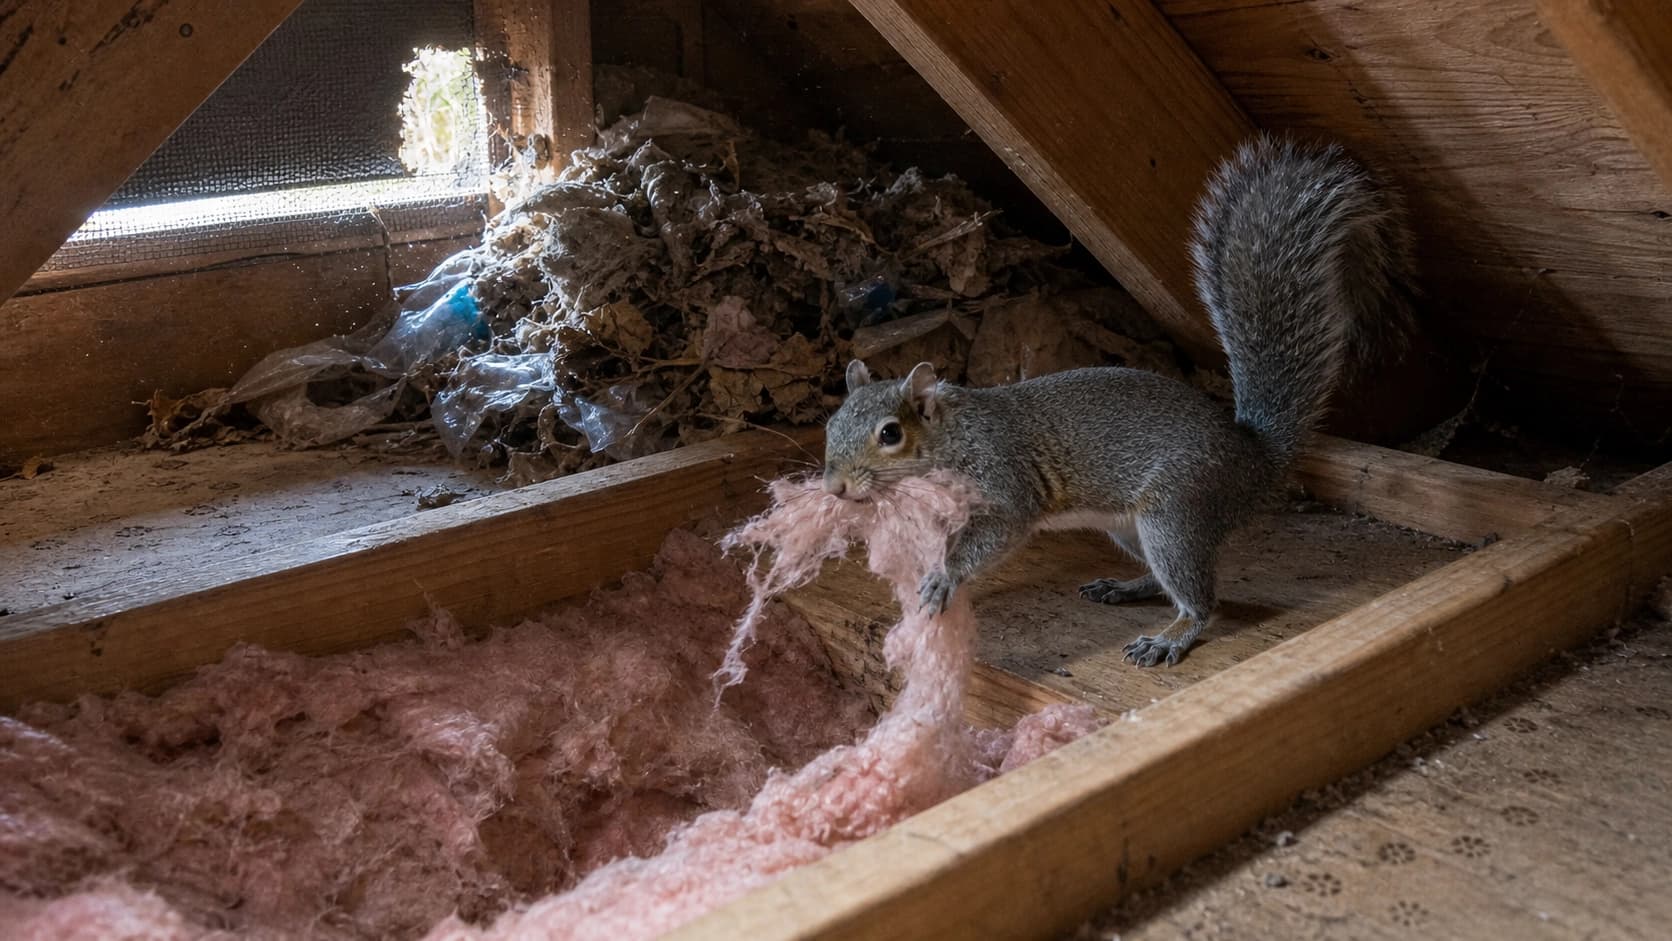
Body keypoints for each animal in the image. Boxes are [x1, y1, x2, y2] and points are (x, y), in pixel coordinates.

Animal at [820, 134, 1417, 667]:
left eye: (890, 434)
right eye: (830, 425)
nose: (835, 488)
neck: (952, 434)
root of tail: (1255, 459)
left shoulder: (1005, 480)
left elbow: (995, 533)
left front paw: (943, 577)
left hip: (1175, 513)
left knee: (1198, 598)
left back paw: (1170, 636)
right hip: (1128, 526)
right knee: (1160, 577)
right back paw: (1128, 588)